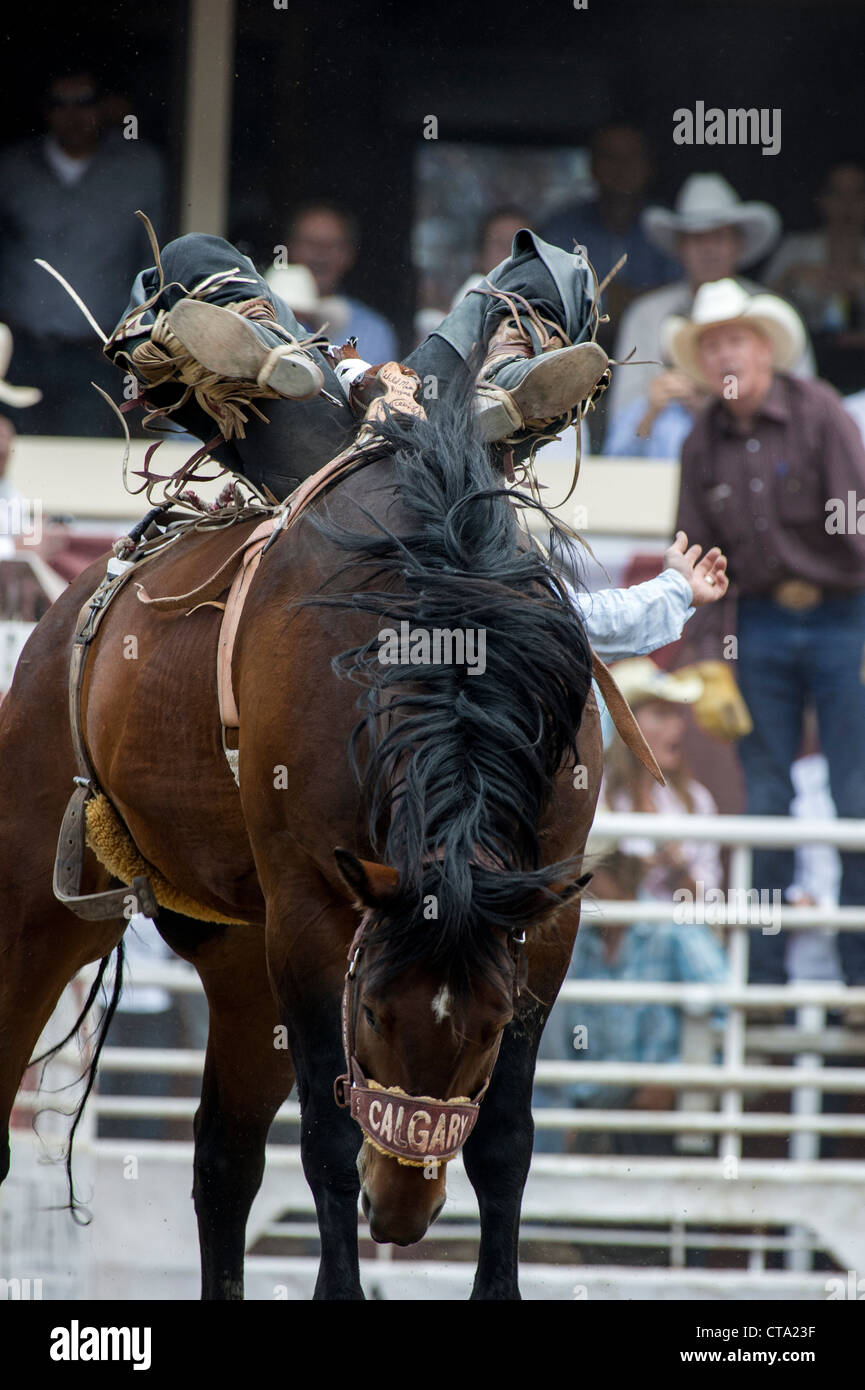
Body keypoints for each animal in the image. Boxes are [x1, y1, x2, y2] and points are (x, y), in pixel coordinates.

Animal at [0, 394, 603, 1301]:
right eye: (373, 1011)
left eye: (493, 1025)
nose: (402, 1214)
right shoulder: (311, 915)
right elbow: (328, 1138)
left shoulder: (545, 921)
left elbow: (504, 1140)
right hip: (42, 910)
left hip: (244, 965)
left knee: (224, 1158)